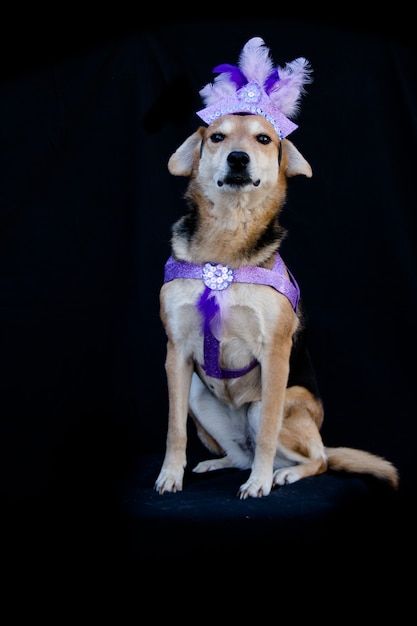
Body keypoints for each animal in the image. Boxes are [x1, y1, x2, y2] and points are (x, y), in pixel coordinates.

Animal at [154, 111, 398, 498]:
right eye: (217, 137)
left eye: (264, 139)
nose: (238, 158)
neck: (227, 244)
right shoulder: (176, 352)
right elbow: (174, 428)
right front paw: (170, 475)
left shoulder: (275, 352)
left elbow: (268, 428)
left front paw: (260, 482)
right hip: (196, 394)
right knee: (241, 455)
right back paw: (218, 463)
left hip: (281, 406)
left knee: (318, 458)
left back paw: (281, 474)